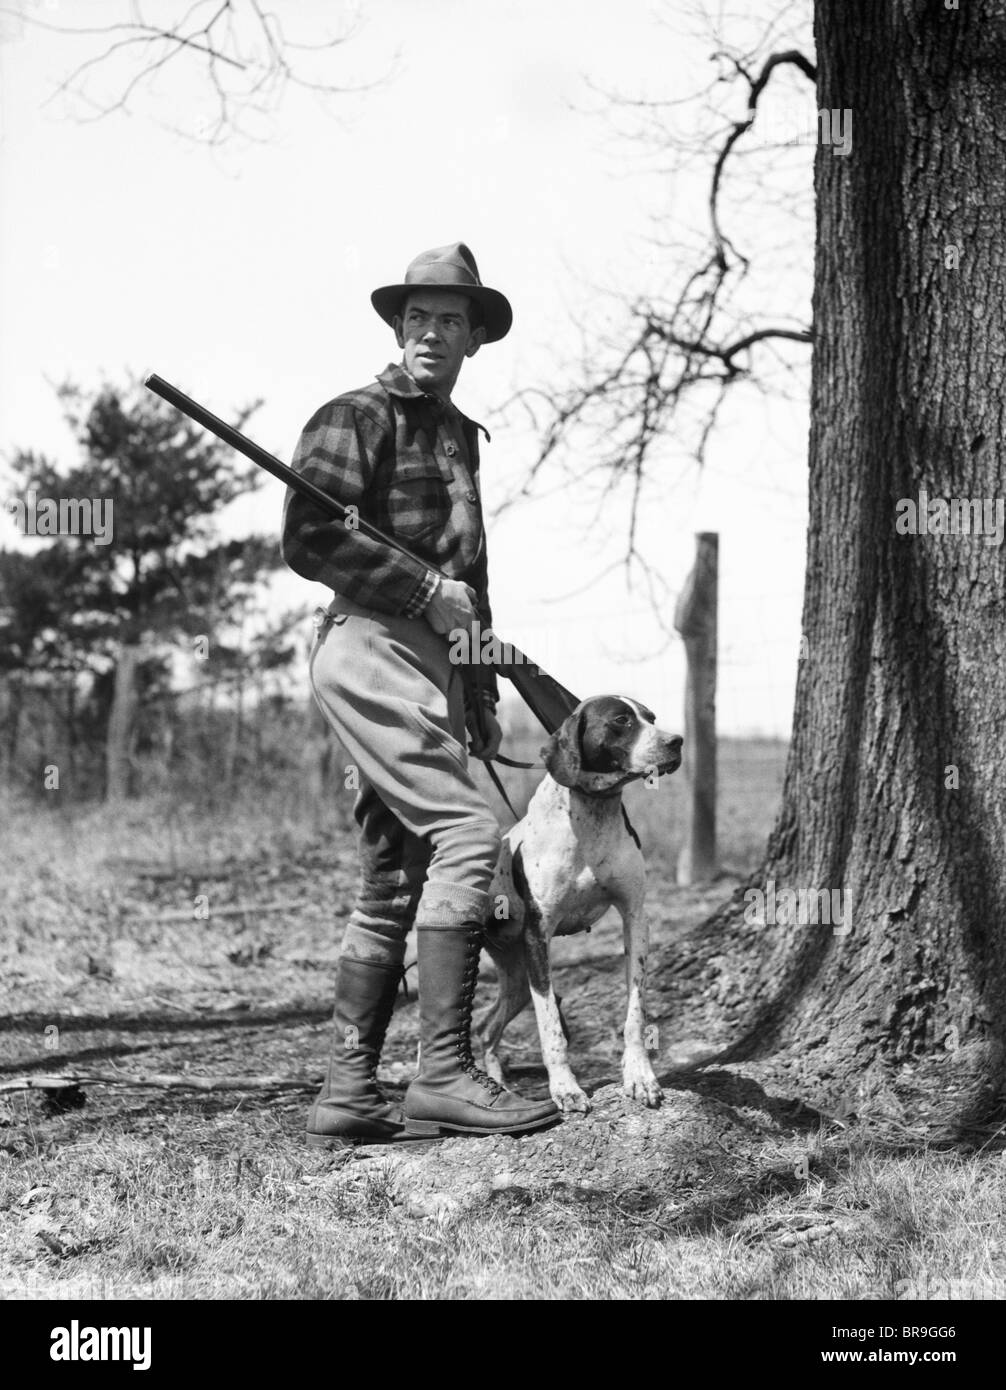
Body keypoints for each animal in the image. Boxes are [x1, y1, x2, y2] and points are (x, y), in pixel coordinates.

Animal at [480, 695, 683, 1117]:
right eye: (621, 720)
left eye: (651, 717)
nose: (677, 741)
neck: (592, 811)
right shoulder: (538, 936)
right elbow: (551, 1026)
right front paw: (565, 1088)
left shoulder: (635, 918)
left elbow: (635, 1013)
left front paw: (640, 1077)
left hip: (516, 978)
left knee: (486, 1029)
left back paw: (498, 1086)